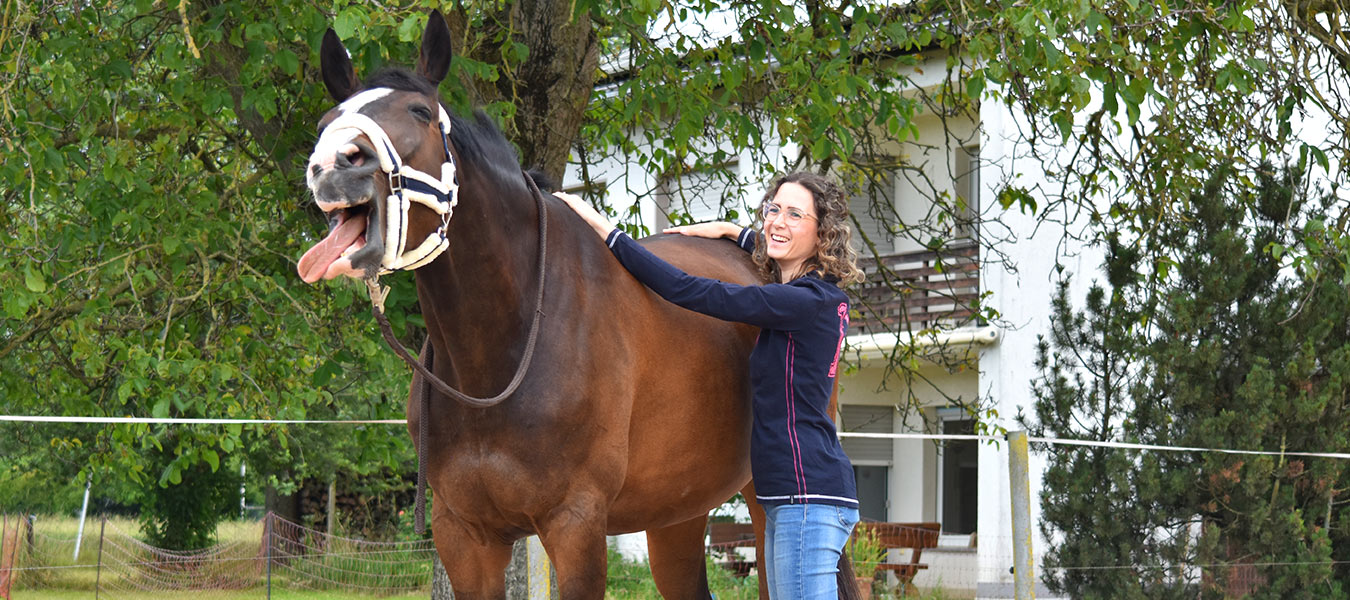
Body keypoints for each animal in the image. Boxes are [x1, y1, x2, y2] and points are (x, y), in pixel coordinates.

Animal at [302, 10, 858, 600]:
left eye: (420, 112)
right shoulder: (463, 533)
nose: (335, 165)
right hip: (677, 512)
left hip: (764, 505)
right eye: (328, 120)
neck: (502, 347)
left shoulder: (576, 523)